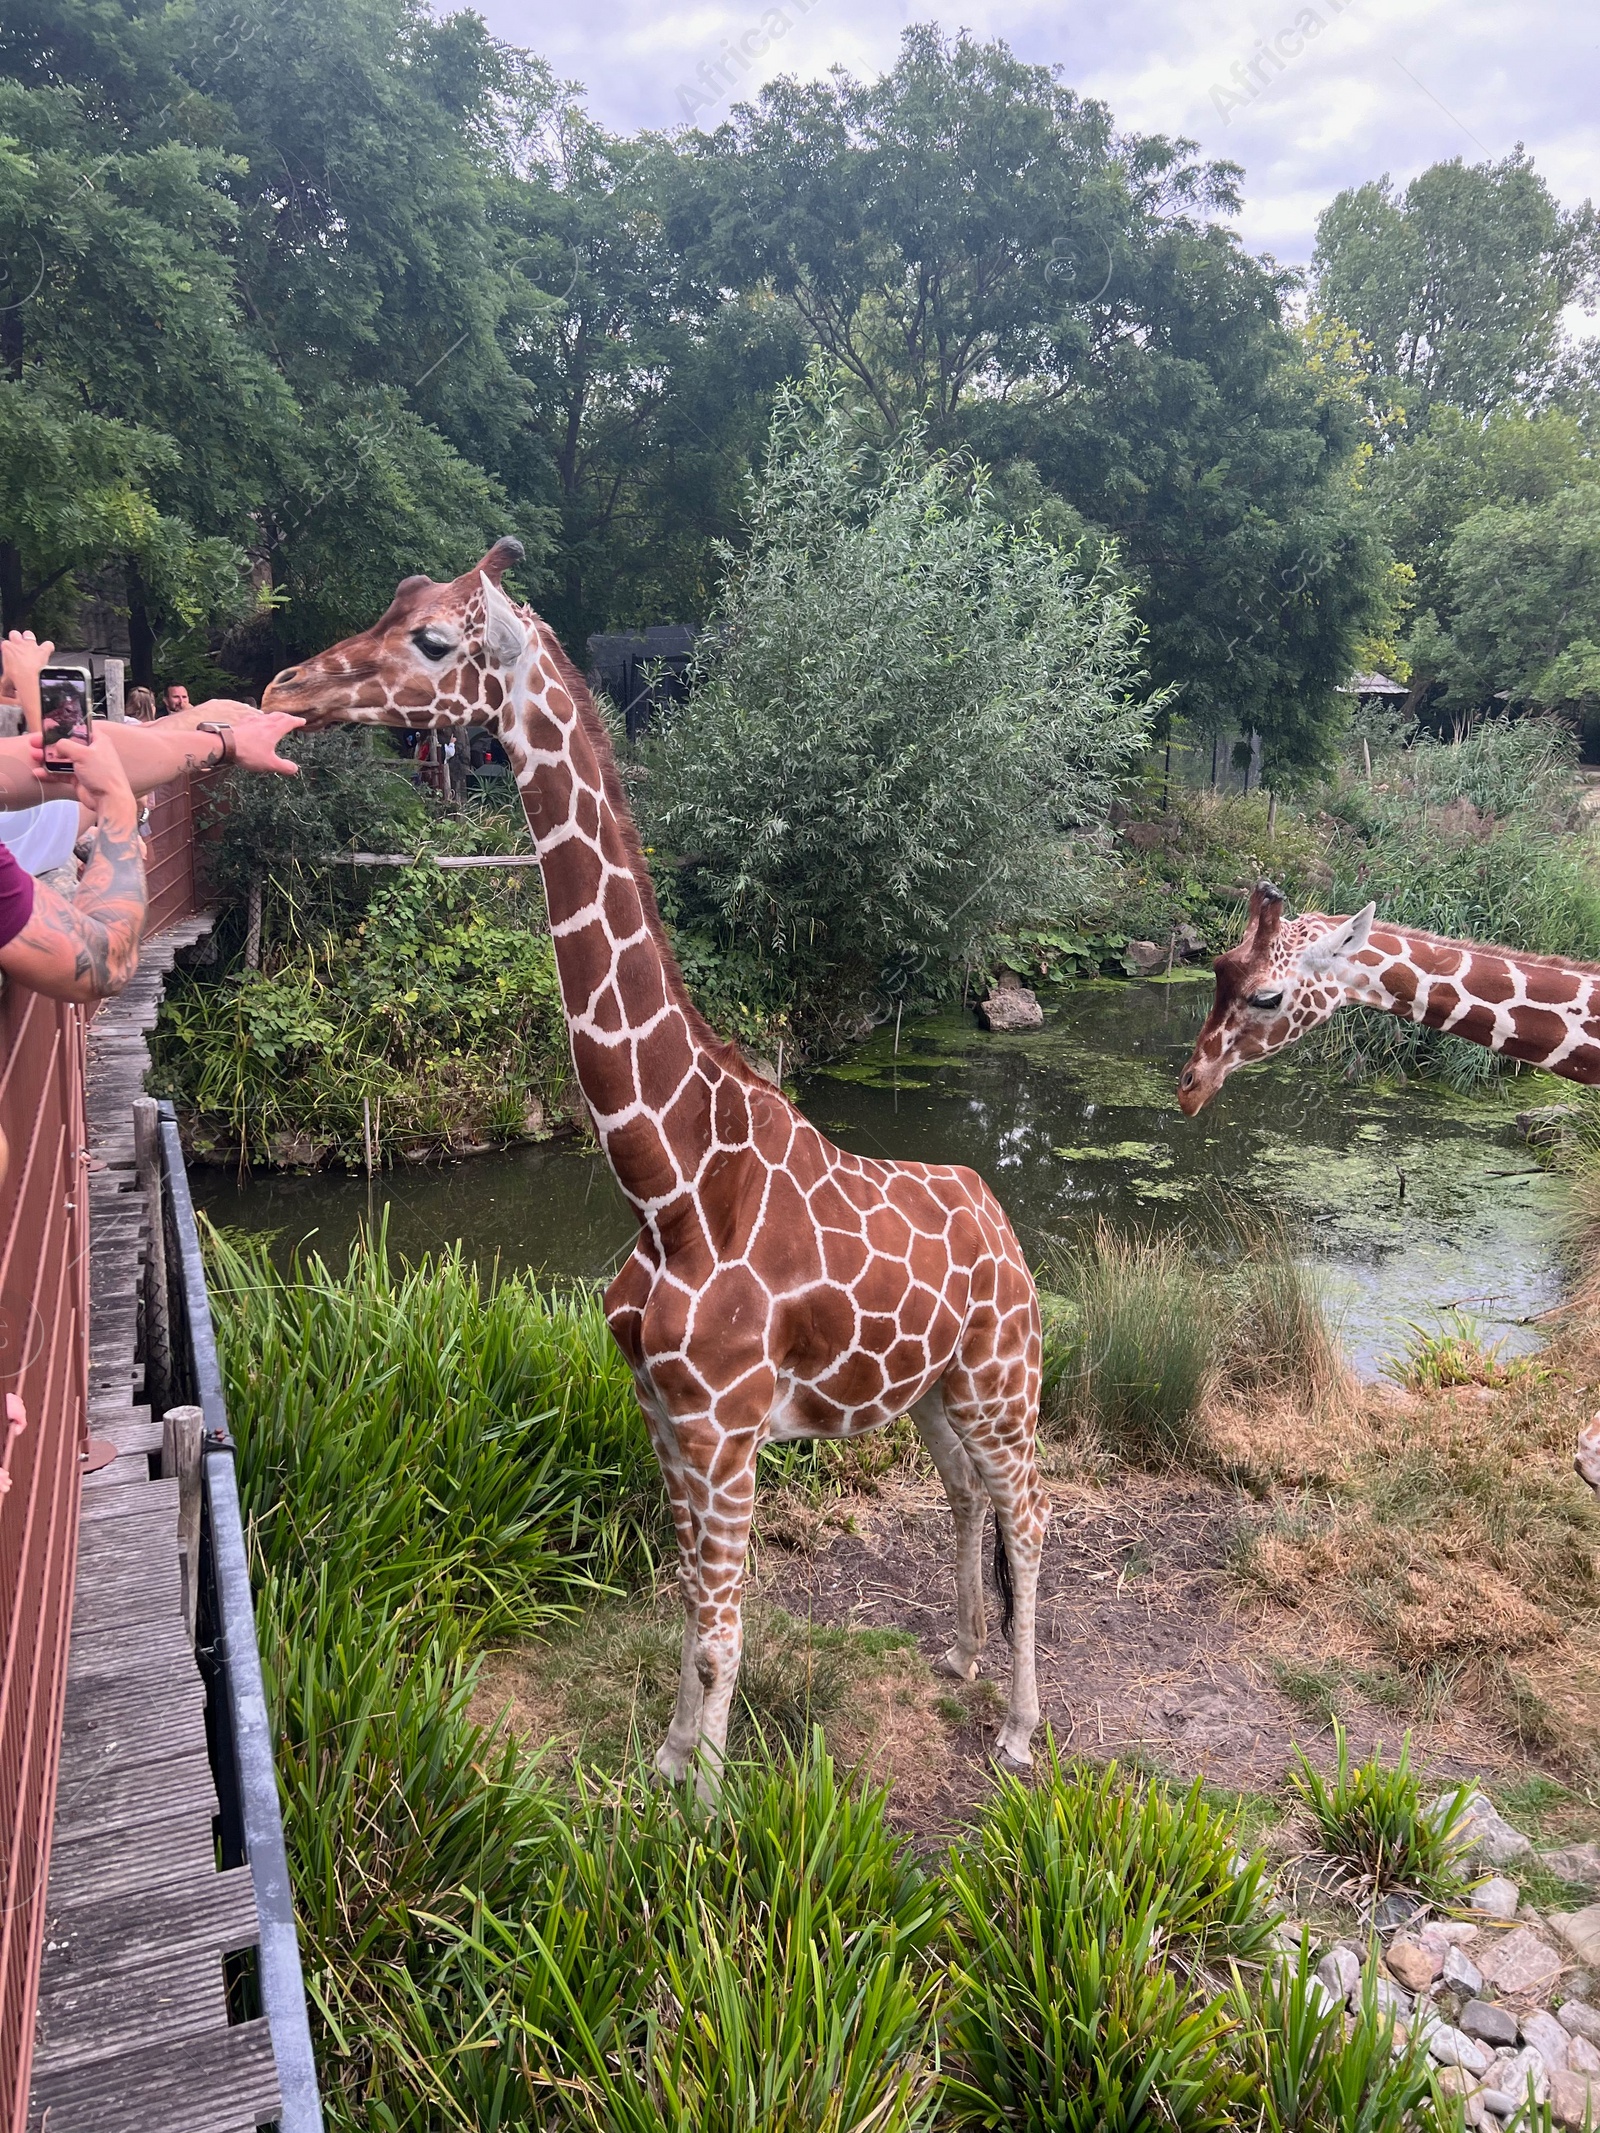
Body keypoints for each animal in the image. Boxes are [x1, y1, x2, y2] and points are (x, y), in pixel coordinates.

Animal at [266, 541, 1053, 1791]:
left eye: (434, 639)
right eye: (391, 603)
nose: (287, 686)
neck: (666, 1183)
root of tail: (999, 1216)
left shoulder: (724, 1427)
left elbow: (724, 1625)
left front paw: (705, 1801)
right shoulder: (659, 1413)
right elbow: (688, 1608)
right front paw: (671, 1761)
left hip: (999, 1373)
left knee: (1030, 1515)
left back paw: (1022, 1728)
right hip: (932, 1391)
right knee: (966, 1493)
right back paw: (961, 1661)